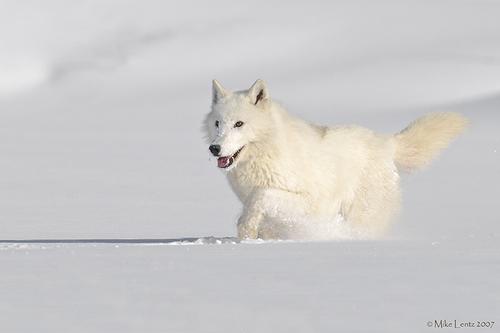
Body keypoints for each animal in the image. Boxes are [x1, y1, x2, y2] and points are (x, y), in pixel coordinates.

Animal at [202, 79, 464, 239]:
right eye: (218, 123)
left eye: (239, 124)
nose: (214, 148)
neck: (268, 151)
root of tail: (387, 142)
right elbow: (256, 209)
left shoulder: (308, 202)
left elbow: (261, 196)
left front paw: (245, 229)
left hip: (360, 215)